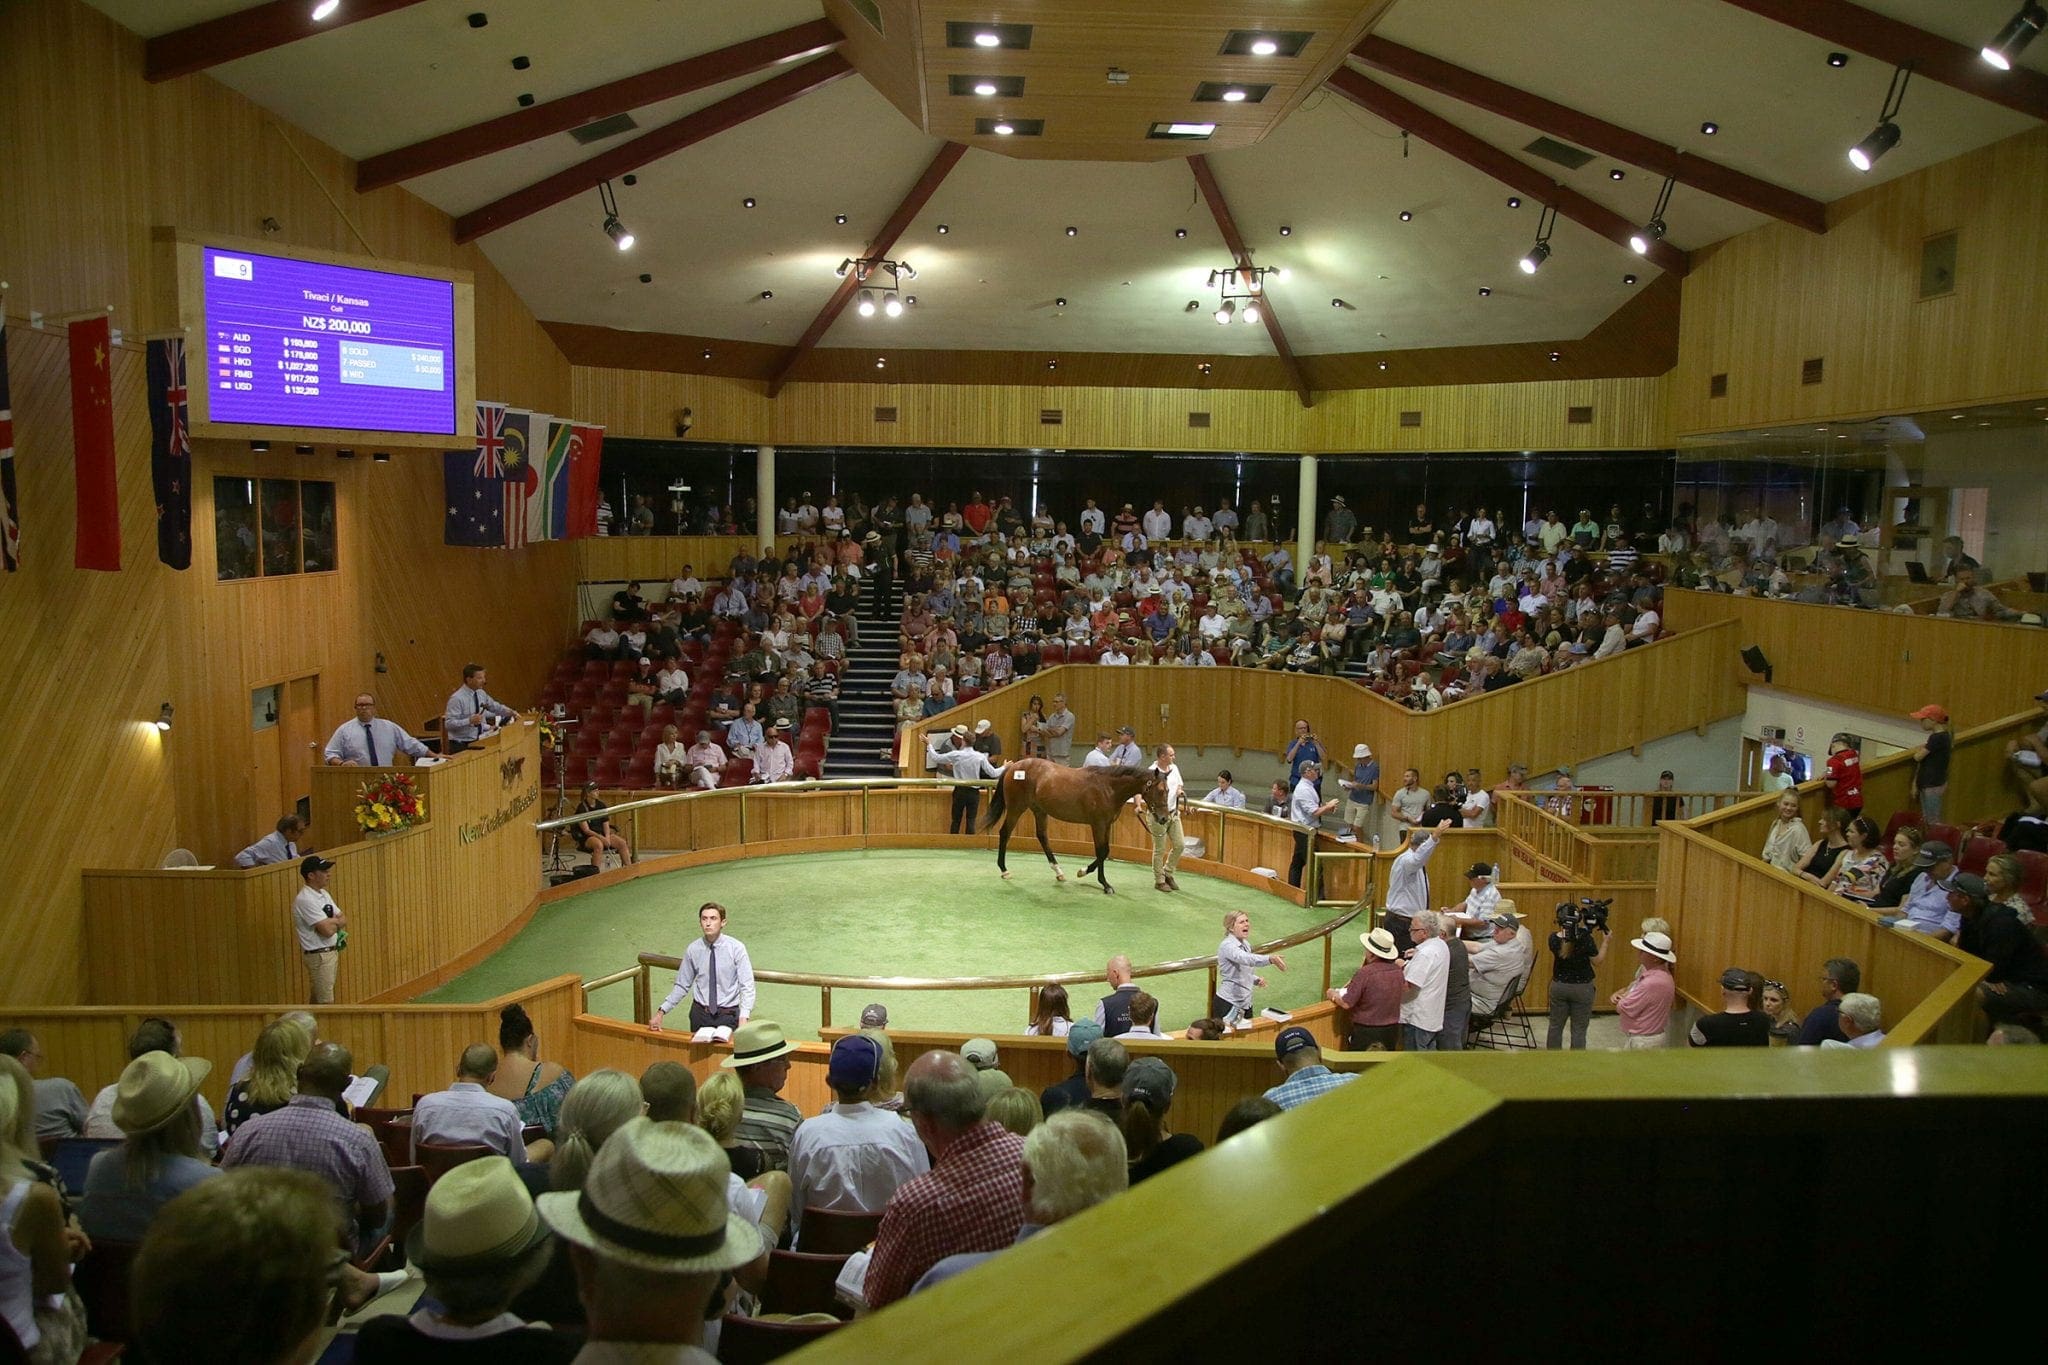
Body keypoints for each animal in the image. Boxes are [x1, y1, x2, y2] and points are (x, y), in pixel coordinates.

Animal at [978, 757, 1171, 896]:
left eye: (1168, 791)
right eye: (1160, 791)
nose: (1164, 818)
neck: (1108, 787)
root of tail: (1013, 767)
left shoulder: (1106, 825)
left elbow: (1106, 851)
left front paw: (1091, 876)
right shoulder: (1098, 824)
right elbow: (1101, 851)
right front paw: (1097, 880)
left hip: (1039, 811)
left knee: (1042, 836)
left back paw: (1058, 872)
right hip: (1016, 808)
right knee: (1005, 833)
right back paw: (1004, 870)